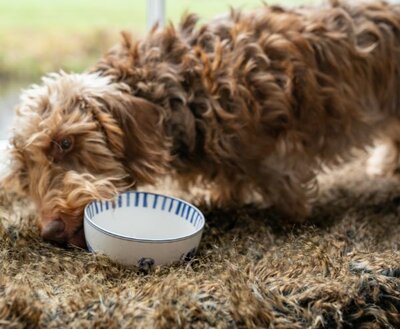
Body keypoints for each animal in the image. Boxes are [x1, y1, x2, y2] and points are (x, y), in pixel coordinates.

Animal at [3, 0, 400, 246]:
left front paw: (291, 219)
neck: (181, 88)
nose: (51, 232)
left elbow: (286, 189)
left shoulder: (276, 151)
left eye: (65, 142)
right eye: (23, 172)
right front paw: (224, 196)